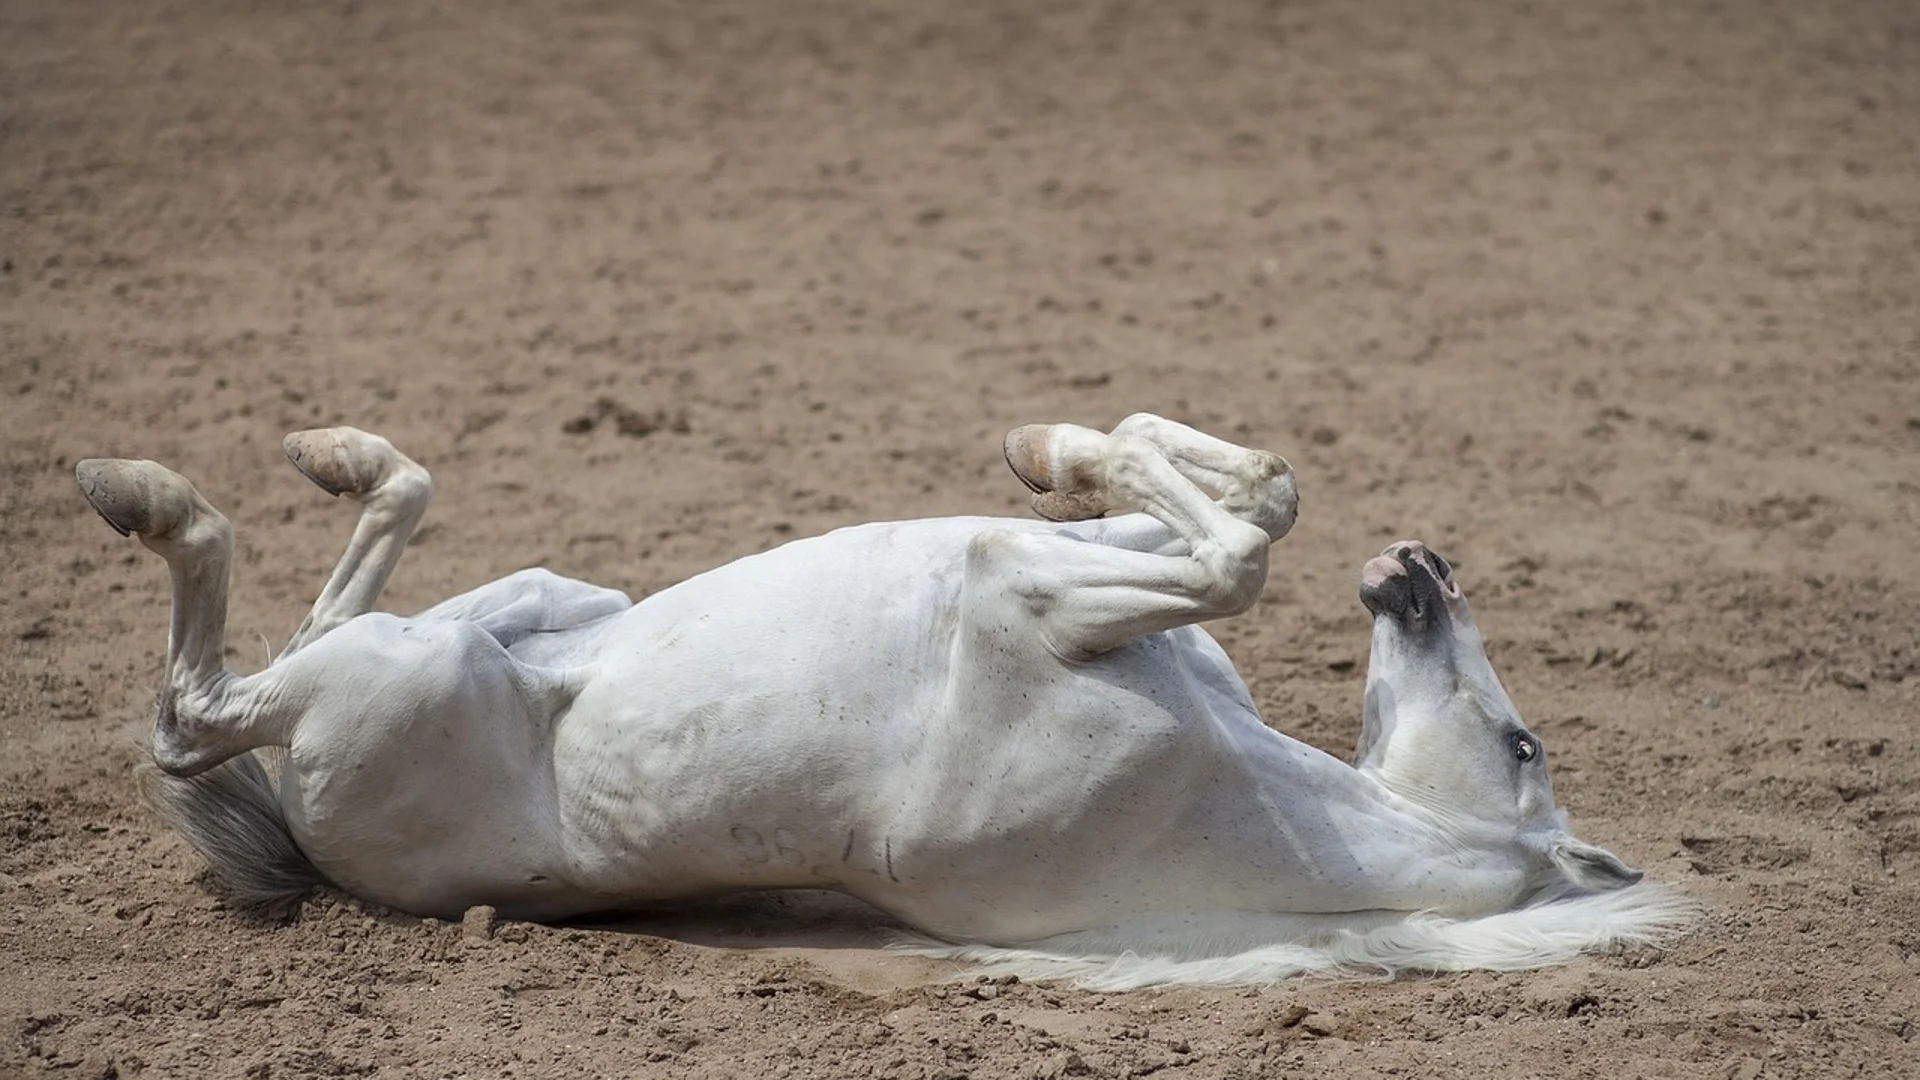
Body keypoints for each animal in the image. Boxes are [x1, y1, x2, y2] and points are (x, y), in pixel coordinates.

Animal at [78, 411, 1697, 983]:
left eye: (1522, 741)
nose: (1421, 570)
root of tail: (308, 847)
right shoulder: (1074, 575)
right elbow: (1242, 502)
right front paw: (1058, 444)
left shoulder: (1032, 598)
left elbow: (1236, 550)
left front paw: (1072, 446)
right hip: (521, 607)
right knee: (339, 580)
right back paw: (332, 453)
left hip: (396, 676)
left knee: (196, 710)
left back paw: (143, 490)